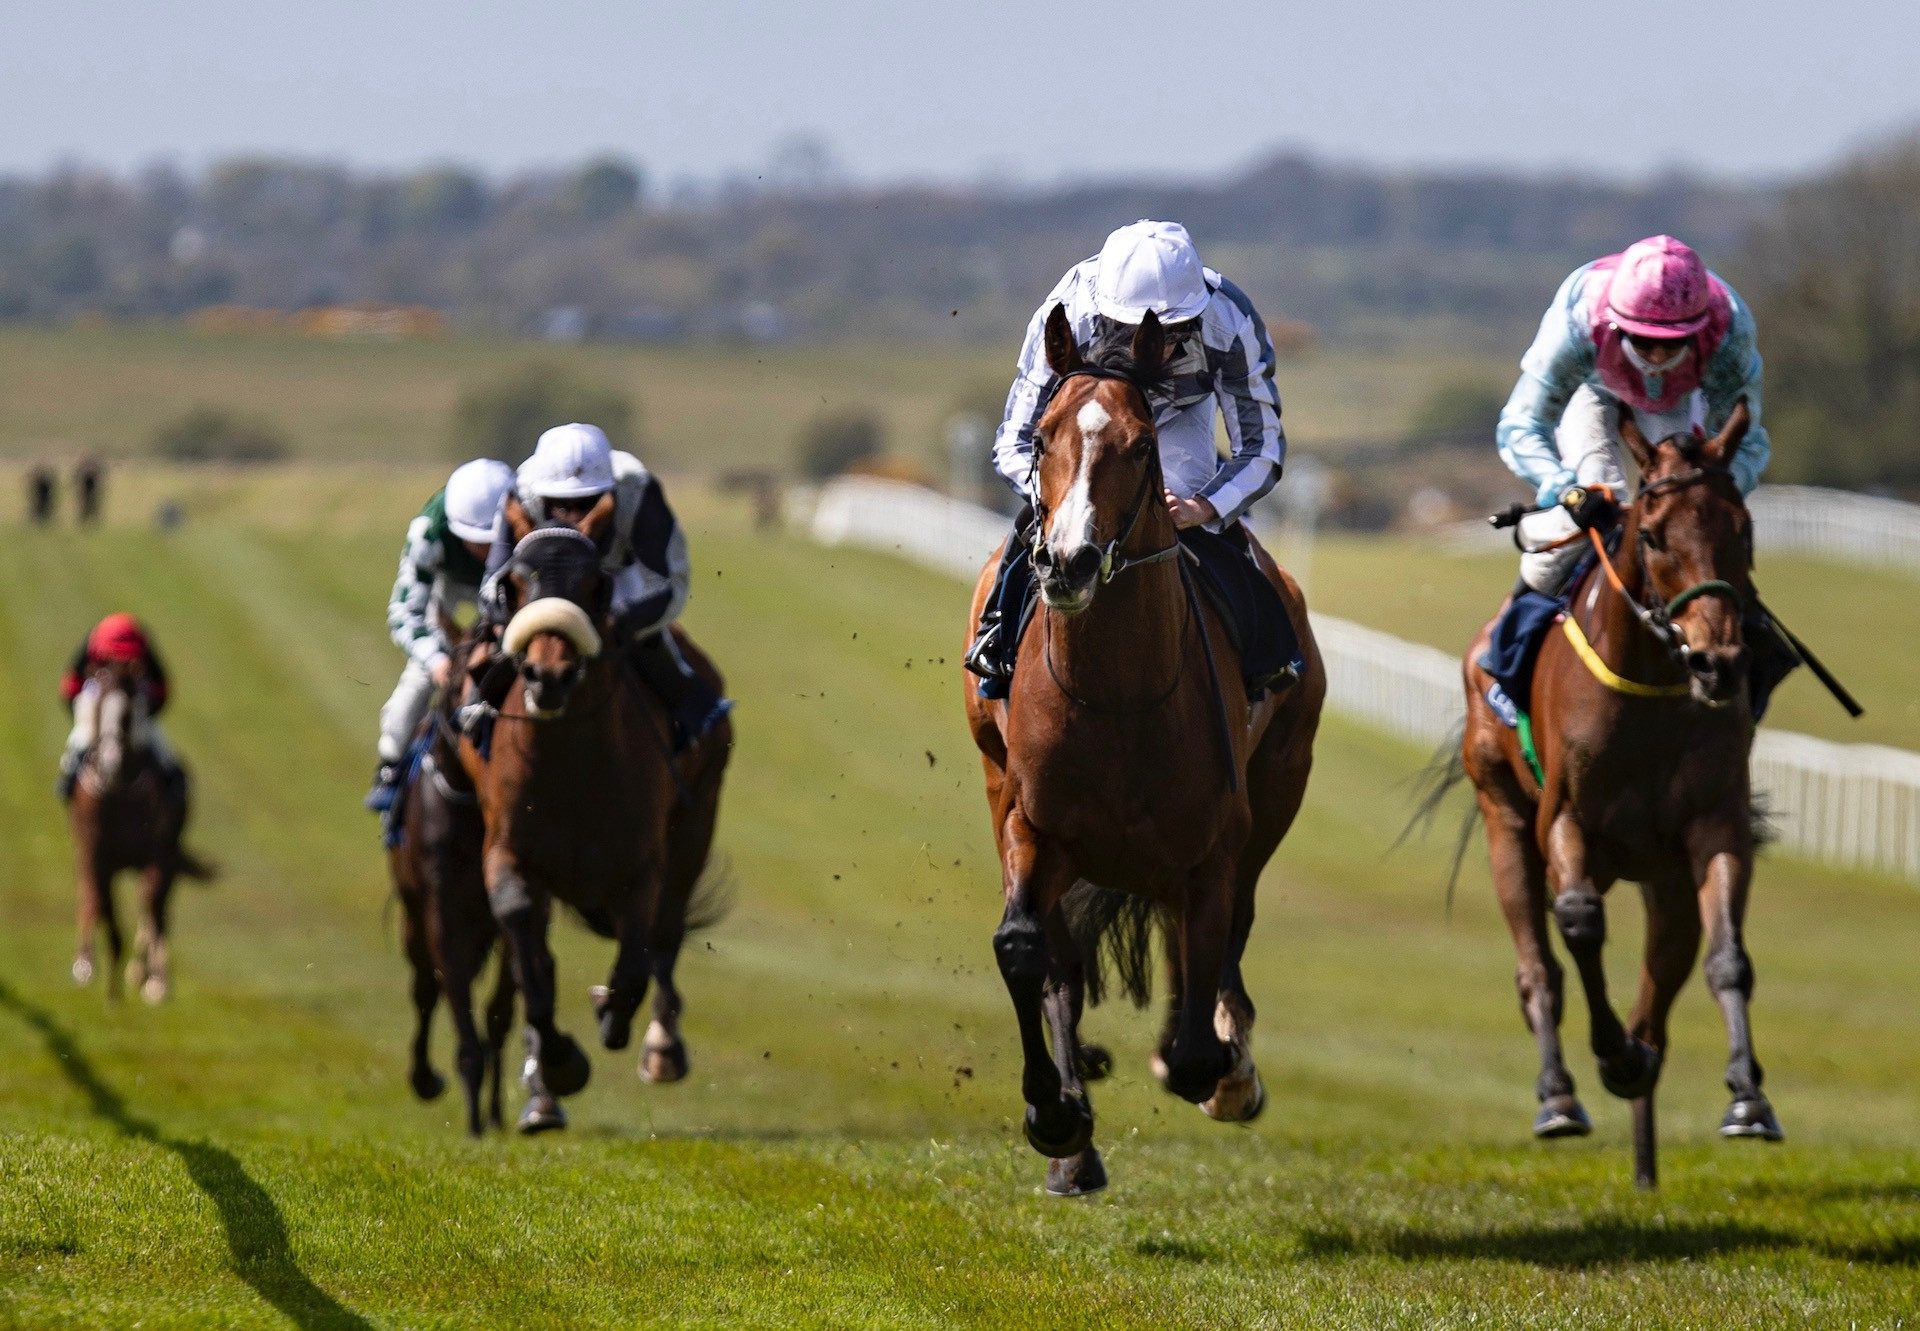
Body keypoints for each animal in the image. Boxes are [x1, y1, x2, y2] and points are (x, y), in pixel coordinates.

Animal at [68, 660, 212, 998]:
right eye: (97, 708)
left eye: (127, 714)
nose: (109, 764)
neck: (121, 790)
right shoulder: (96, 851)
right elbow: (98, 898)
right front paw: (92, 969)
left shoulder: (158, 852)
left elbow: (151, 903)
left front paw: (154, 979)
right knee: (89, 894)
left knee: (156, 909)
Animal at [456, 491, 733, 1106]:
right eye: (514, 583)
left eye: (595, 584)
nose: (549, 674)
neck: (572, 769)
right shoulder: (509, 850)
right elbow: (529, 953)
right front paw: (556, 1060)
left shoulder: (642, 866)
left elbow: (636, 960)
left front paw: (613, 1013)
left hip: (695, 823)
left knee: (667, 933)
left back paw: (661, 1044)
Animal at [960, 309, 1320, 1190]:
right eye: (1043, 434)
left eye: (1142, 443)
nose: (1069, 561)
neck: (1119, 697)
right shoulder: (1032, 822)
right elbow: (1023, 947)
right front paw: (1054, 1113)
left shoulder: (1214, 846)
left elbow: (1198, 1009)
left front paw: (1224, 1068)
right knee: (1059, 956)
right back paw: (1075, 1138)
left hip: (1278, 789)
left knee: (1224, 937)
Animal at [1459, 401, 1774, 1183]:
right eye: (1654, 534)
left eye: (1743, 527)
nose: (1718, 663)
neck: (1652, 690)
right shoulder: (1565, 819)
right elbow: (1578, 923)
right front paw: (1611, 1059)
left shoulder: (1713, 822)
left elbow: (1728, 956)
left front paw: (1747, 1098)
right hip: (1504, 821)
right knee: (1538, 966)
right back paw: (1560, 1093)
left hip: (1664, 878)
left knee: (1659, 985)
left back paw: (1645, 1113)